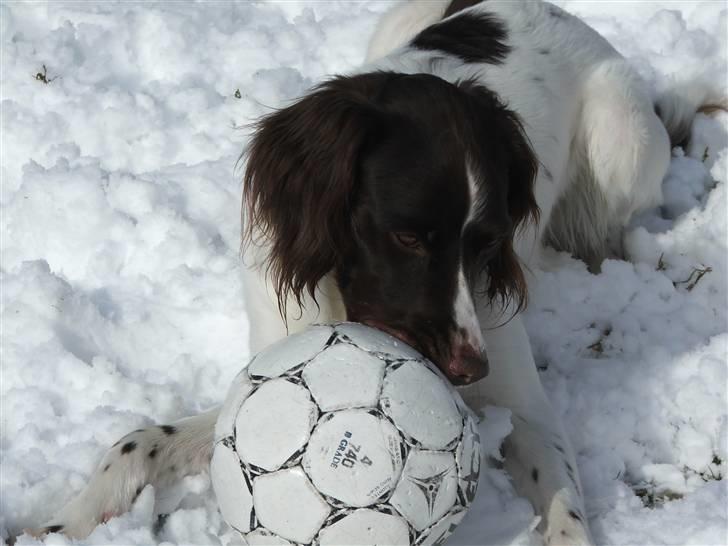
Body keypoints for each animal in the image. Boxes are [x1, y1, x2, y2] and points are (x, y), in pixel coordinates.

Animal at [34, 1, 712, 544]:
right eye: (407, 236)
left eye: (486, 241)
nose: (469, 369)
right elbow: (141, 439)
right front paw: (64, 522)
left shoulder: (526, 409)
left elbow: (566, 506)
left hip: (620, 136)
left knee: (611, 227)